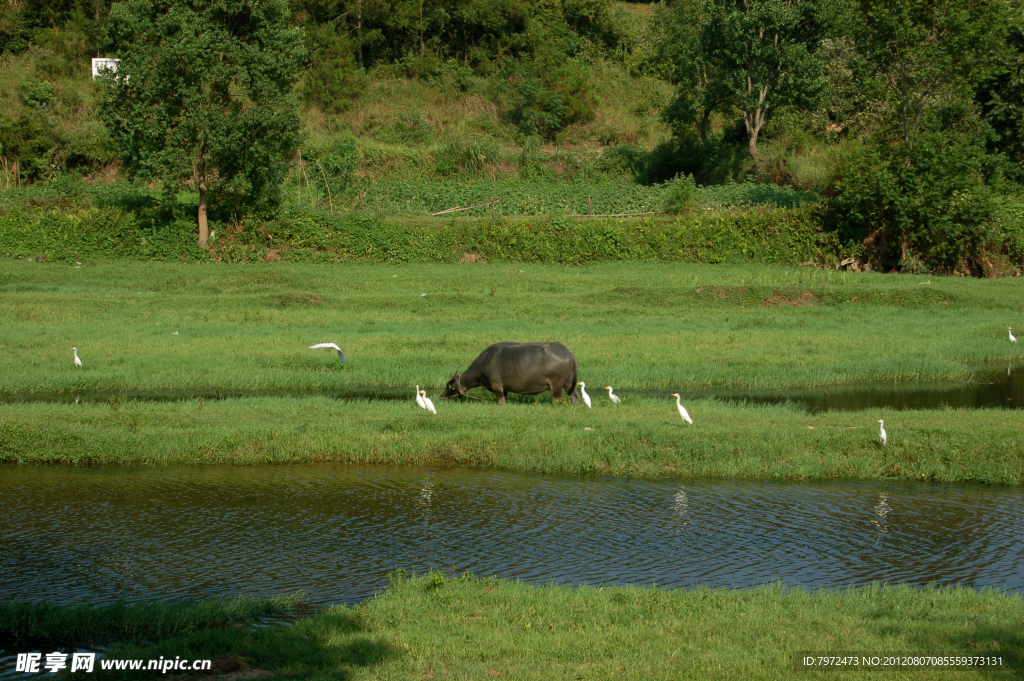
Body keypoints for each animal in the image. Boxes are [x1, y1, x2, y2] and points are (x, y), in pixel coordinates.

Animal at [444, 339, 581, 403]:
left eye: (449, 386)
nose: (441, 397)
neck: (484, 363)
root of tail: (567, 352)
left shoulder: (496, 385)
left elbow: (500, 399)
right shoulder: (504, 389)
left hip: (556, 385)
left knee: (558, 398)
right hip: (568, 381)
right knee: (575, 395)